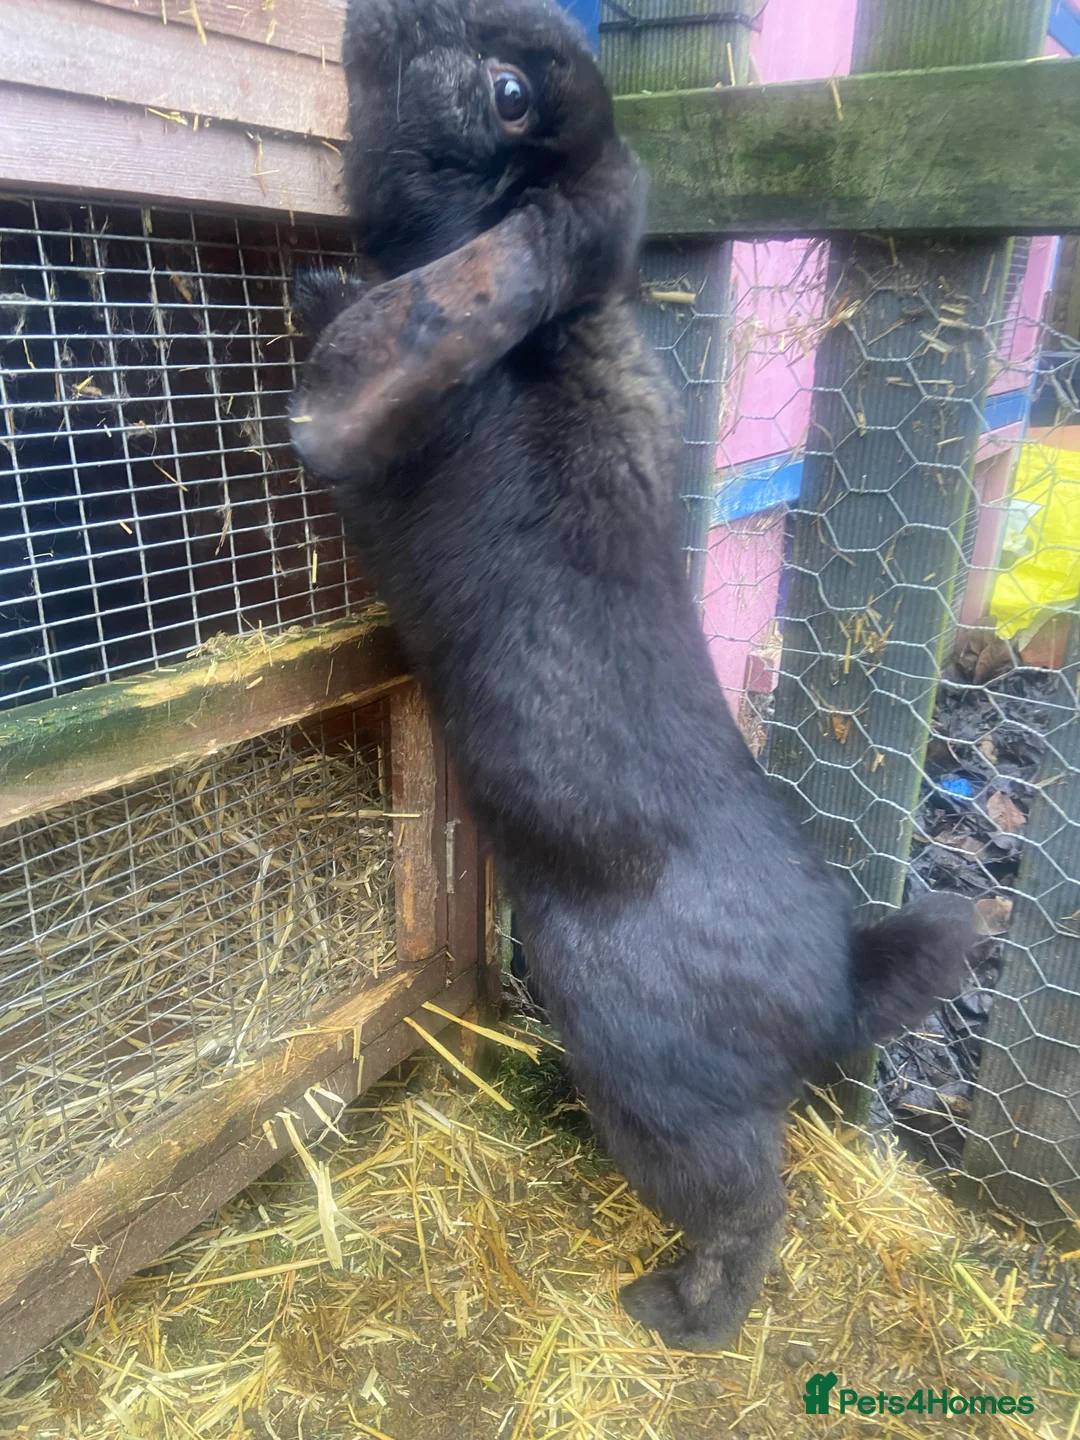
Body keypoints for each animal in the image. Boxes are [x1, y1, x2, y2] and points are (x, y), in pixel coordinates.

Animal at [289, 0, 975, 1350]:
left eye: (510, 95)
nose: (374, 13)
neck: (537, 350)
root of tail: (838, 993)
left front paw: (323, 291)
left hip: (652, 1088)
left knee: (748, 1210)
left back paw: (677, 1314)